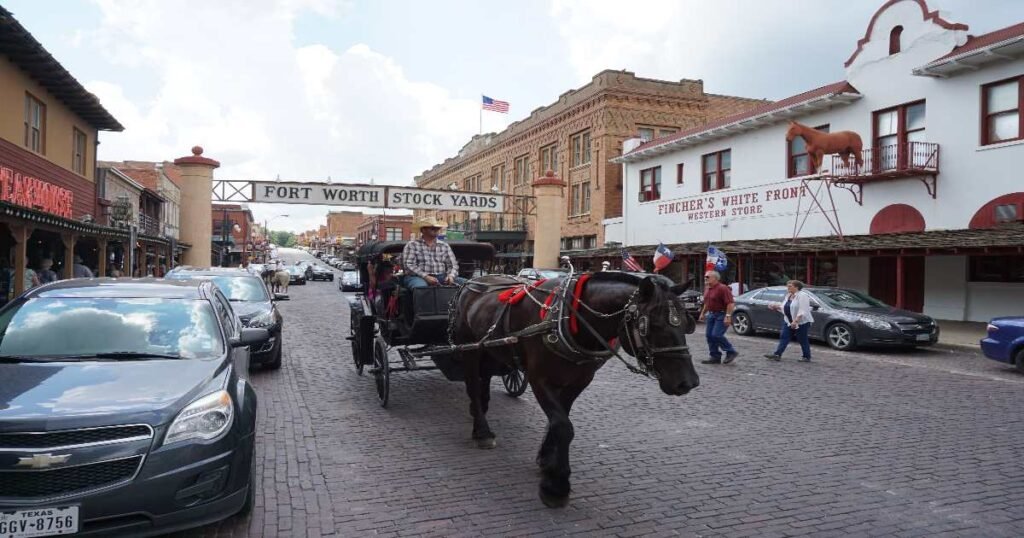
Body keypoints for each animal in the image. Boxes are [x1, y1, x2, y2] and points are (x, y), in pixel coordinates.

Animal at [452, 270, 700, 506]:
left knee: (484, 378)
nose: (688, 382)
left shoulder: (579, 380)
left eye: (686, 323)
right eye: (653, 325)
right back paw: (482, 430)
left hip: (488, 349)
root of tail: (473, 282)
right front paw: (556, 485)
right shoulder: (539, 379)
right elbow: (563, 426)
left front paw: (547, 460)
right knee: (473, 385)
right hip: (468, 347)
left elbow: (559, 421)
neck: (571, 319)